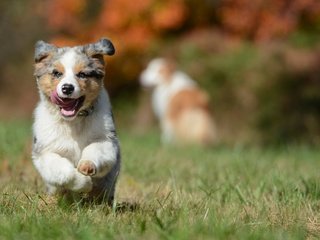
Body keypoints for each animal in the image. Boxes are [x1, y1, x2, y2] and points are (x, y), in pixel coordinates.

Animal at [32, 38, 120, 203]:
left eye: (82, 74)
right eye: (56, 73)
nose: (67, 88)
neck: (73, 121)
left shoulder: (107, 140)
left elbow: (95, 149)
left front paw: (87, 166)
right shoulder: (44, 153)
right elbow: (63, 171)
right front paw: (84, 183)